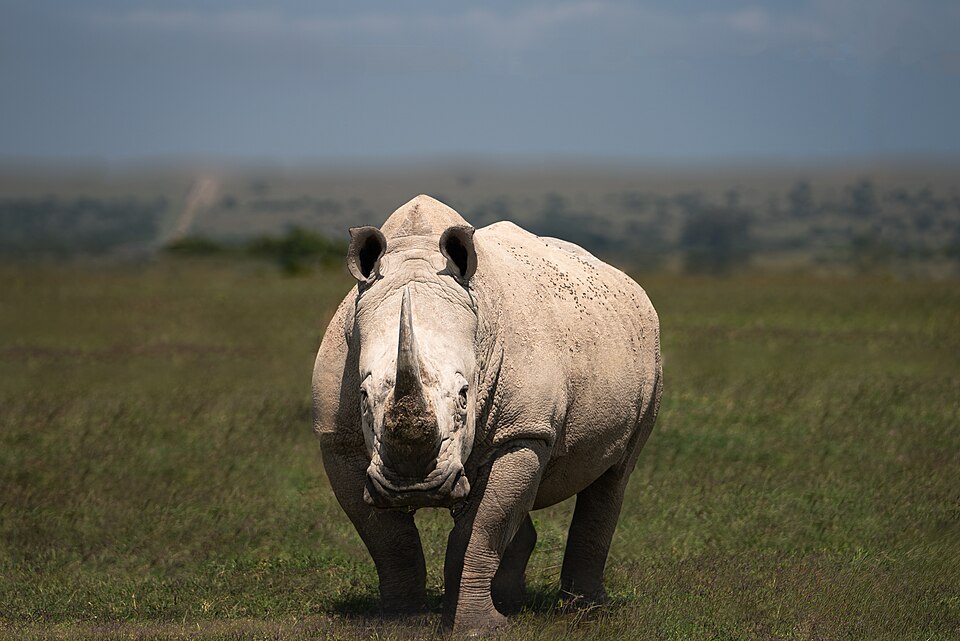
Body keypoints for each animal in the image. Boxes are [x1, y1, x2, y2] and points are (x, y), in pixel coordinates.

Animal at [312, 195, 662, 635]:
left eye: (465, 396)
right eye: (361, 395)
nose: (414, 487)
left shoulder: (523, 431)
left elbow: (482, 528)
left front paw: (477, 630)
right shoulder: (336, 439)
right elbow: (388, 540)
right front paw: (401, 623)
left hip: (649, 353)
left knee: (615, 473)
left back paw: (585, 610)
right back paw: (512, 603)